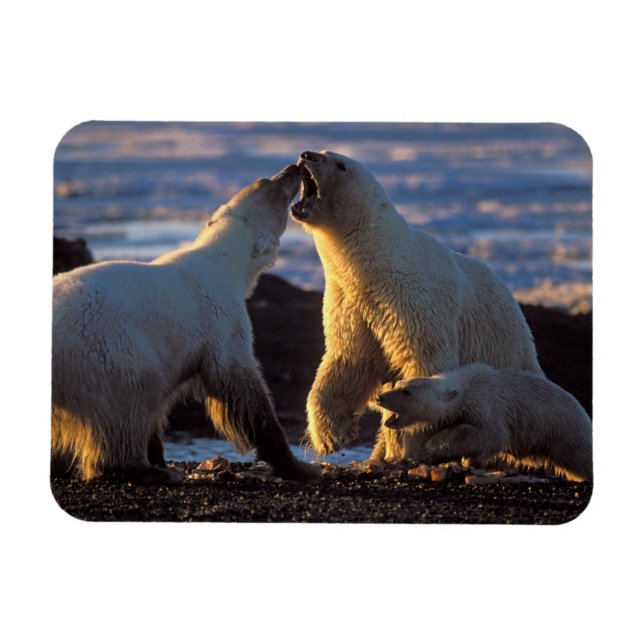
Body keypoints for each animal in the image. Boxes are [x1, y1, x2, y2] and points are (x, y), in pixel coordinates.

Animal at [52, 164, 320, 484]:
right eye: (272, 186)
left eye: (264, 180)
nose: (294, 167)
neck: (223, 264)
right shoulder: (220, 320)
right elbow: (242, 385)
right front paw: (301, 466)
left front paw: (158, 454)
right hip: (105, 351)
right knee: (131, 399)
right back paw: (145, 470)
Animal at [290, 150, 543, 461]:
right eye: (323, 153)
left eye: (339, 164)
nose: (307, 154)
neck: (377, 267)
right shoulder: (352, 305)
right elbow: (348, 361)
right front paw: (331, 435)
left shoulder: (414, 303)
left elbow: (424, 365)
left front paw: (407, 444)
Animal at [375, 364, 593, 482]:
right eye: (399, 384)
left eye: (406, 392)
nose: (380, 397)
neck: (464, 387)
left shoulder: (487, 405)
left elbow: (492, 436)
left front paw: (435, 446)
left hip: (565, 432)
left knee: (581, 457)